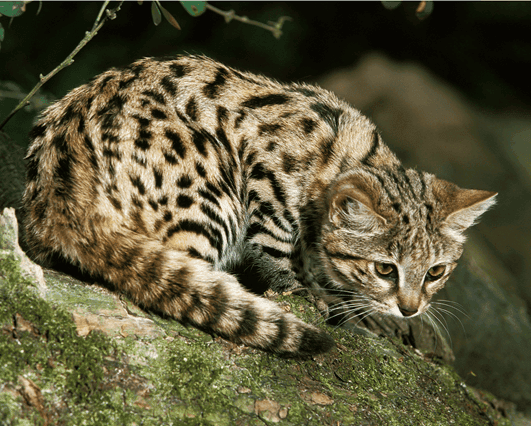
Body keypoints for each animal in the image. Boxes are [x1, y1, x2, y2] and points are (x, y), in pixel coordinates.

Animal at [19, 55, 494, 356]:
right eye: (384, 269)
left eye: (436, 272)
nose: (411, 308)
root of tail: (61, 193)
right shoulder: (265, 181)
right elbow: (283, 253)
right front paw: (310, 290)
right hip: (214, 190)